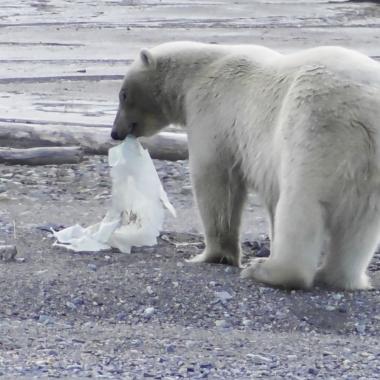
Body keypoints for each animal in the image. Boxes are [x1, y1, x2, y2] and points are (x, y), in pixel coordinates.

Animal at [111, 41, 380, 290]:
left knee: (301, 203)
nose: (115, 132)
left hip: (315, 123)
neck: (198, 72)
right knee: (362, 225)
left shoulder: (212, 110)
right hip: (369, 161)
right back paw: (336, 276)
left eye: (123, 94)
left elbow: (216, 180)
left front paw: (212, 255)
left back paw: (267, 271)